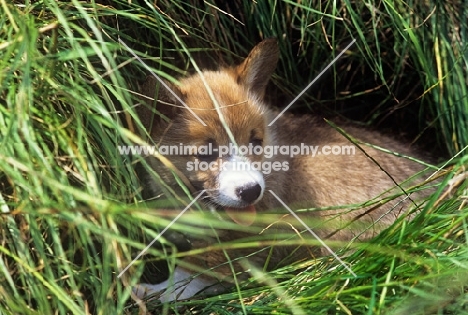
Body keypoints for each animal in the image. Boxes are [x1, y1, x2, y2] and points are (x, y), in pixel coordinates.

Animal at [133, 39, 432, 304]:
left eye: (256, 141)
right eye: (206, 153)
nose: (251, 191)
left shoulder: (242, 243)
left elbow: (190, 274)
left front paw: (154, 292)